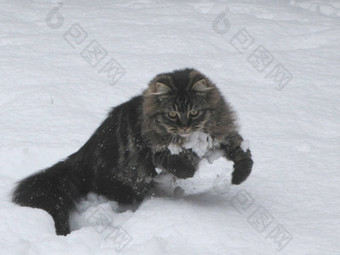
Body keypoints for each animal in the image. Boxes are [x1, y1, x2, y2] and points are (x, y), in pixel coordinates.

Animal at [11, 67, 254, 235]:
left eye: (194, 112)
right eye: (172, 114)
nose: (185, 127)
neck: (189, 139)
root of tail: (78, 160)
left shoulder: (223, 135)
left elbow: (244, 154)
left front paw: (239, 176)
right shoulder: (151, 149)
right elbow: (176, 164)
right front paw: (189, 167)